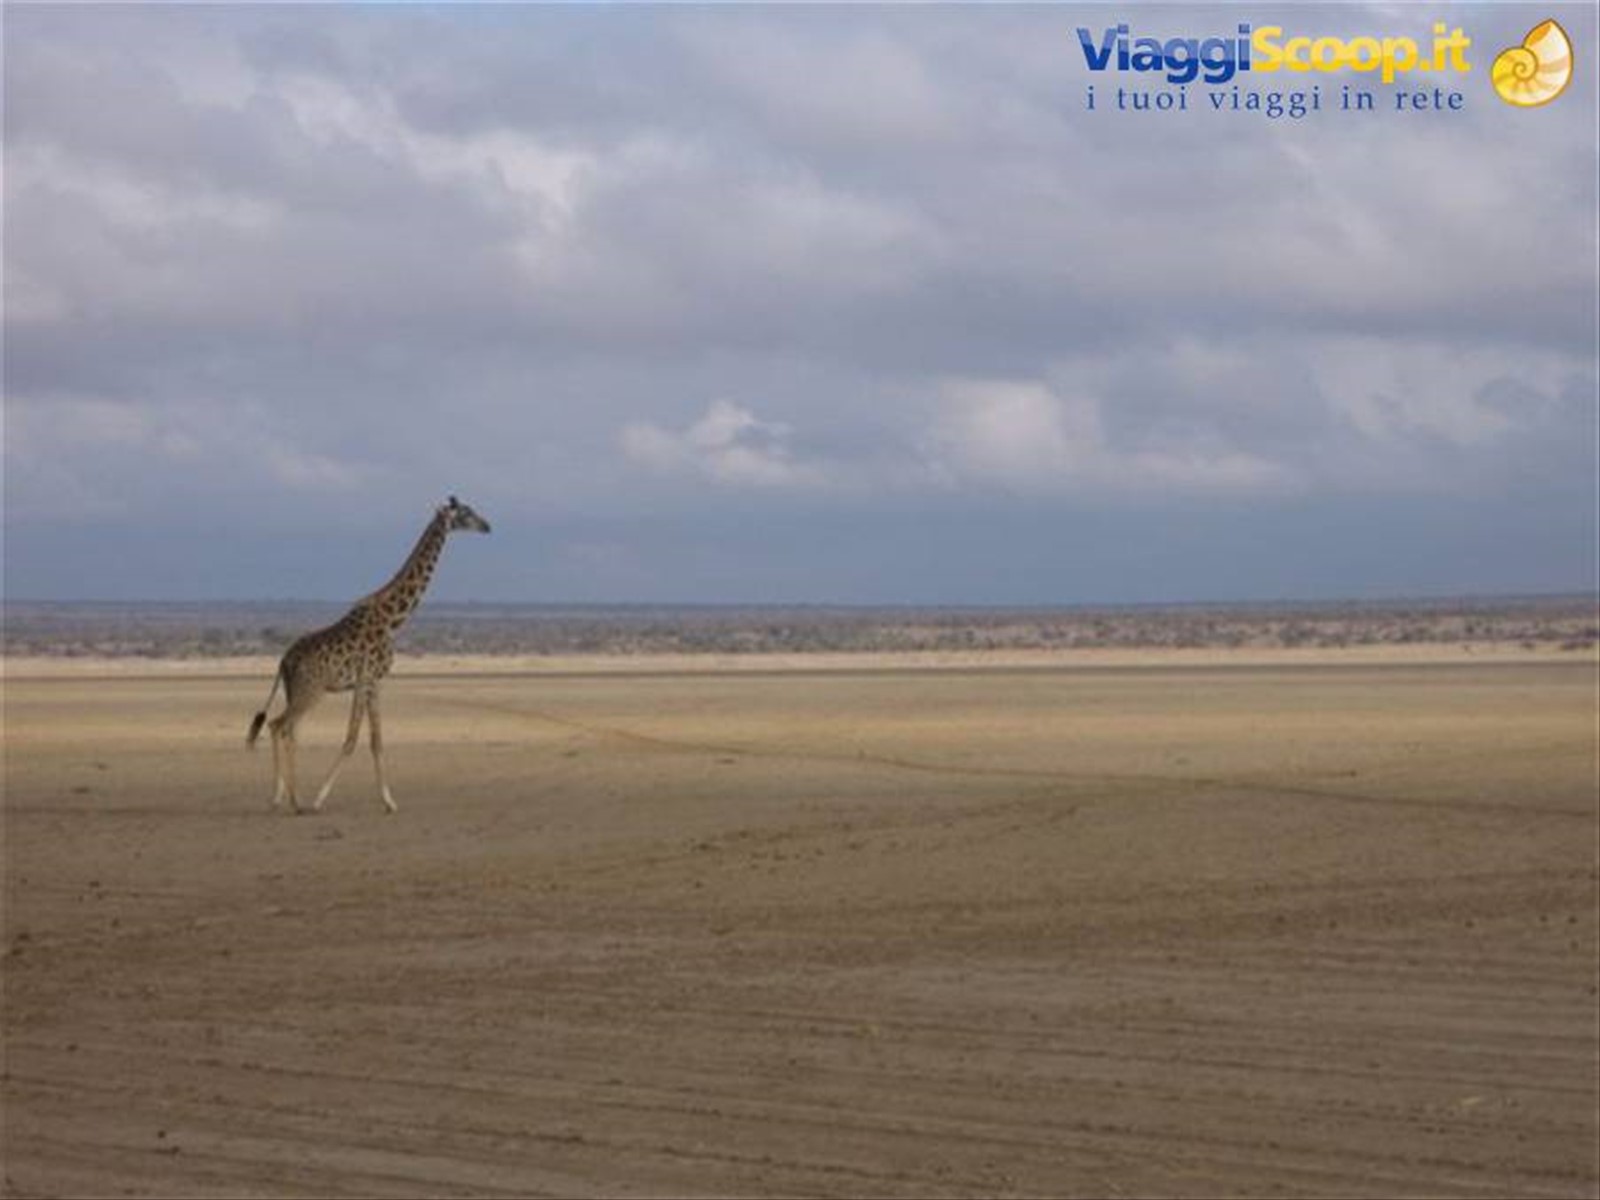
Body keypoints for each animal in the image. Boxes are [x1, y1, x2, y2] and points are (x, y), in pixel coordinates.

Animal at [246, 496, 491, 814]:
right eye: (466, 512)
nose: (487, 526)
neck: (393, 619)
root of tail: (283, 661)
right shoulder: (369, 679)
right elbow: (352, 739)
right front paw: (319, 799)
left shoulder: (372, 682)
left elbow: (376, 740)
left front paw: (388, 801)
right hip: (311, 691)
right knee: (281, 726)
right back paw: (294, 800)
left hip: (295, 691)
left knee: (285, 728)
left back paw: (281, 798)